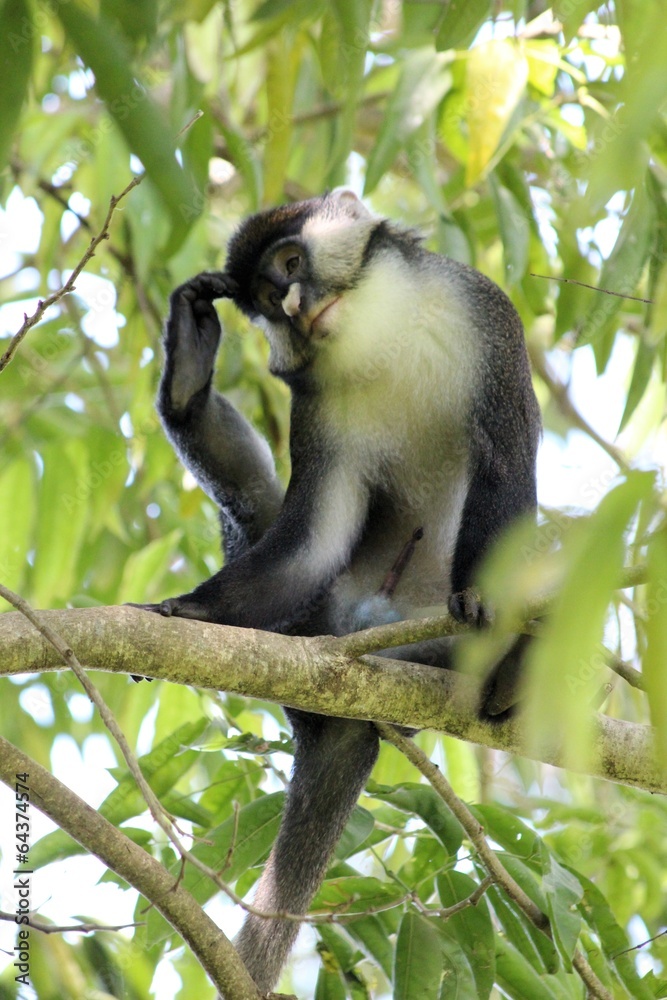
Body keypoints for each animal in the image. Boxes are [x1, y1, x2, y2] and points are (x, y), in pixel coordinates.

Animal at [143, 189, 541, 993]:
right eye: (269, 300)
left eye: (292, 263)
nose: (295, 306)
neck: (385, 334)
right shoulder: (315, 405)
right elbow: (311, 537)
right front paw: (195, 608)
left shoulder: (487, 318)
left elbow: (506, 466)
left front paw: (484, 605)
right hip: (318, 618)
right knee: (258, 517)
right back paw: (188, 393)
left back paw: (508, 668)